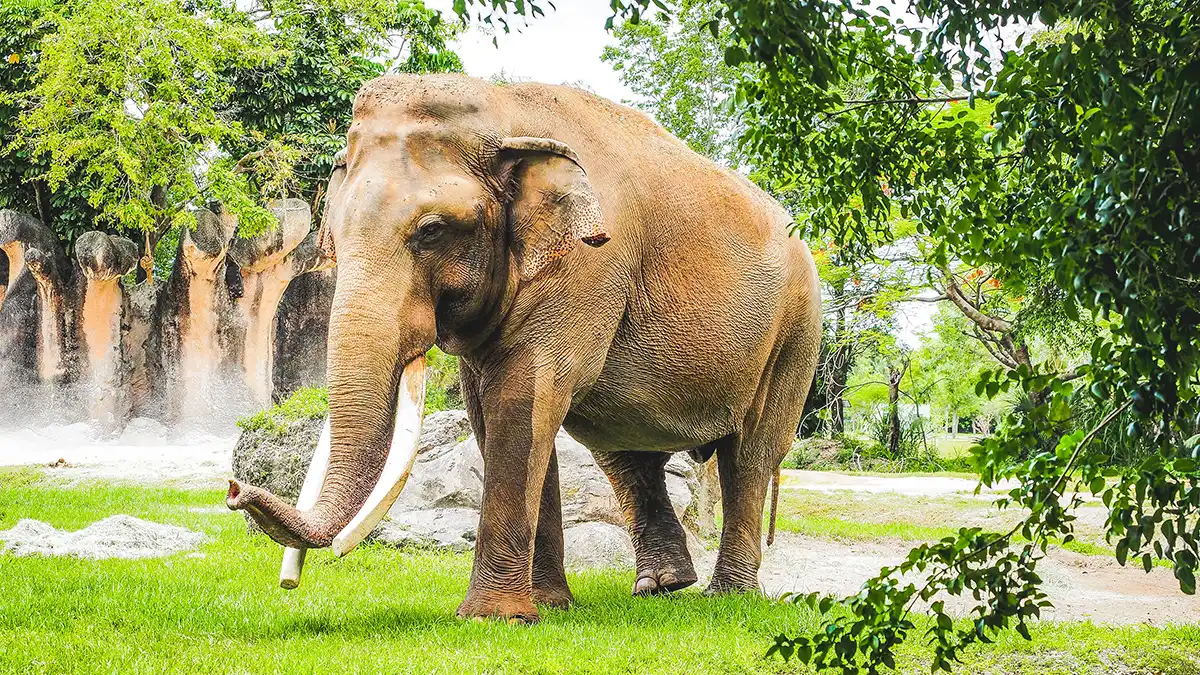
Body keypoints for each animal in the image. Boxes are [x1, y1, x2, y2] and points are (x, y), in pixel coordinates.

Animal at [227, 73, 821, 623]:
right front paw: (550, 607)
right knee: (625, 454)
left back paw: (729, 596)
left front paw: (493, 617)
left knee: (750, 453)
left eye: (432, 231)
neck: (503, 106)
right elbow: (493, 414)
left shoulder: (587, 265)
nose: (234, 489)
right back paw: (661, 586)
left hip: (796, 332)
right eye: (334, 233)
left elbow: (522, 397)